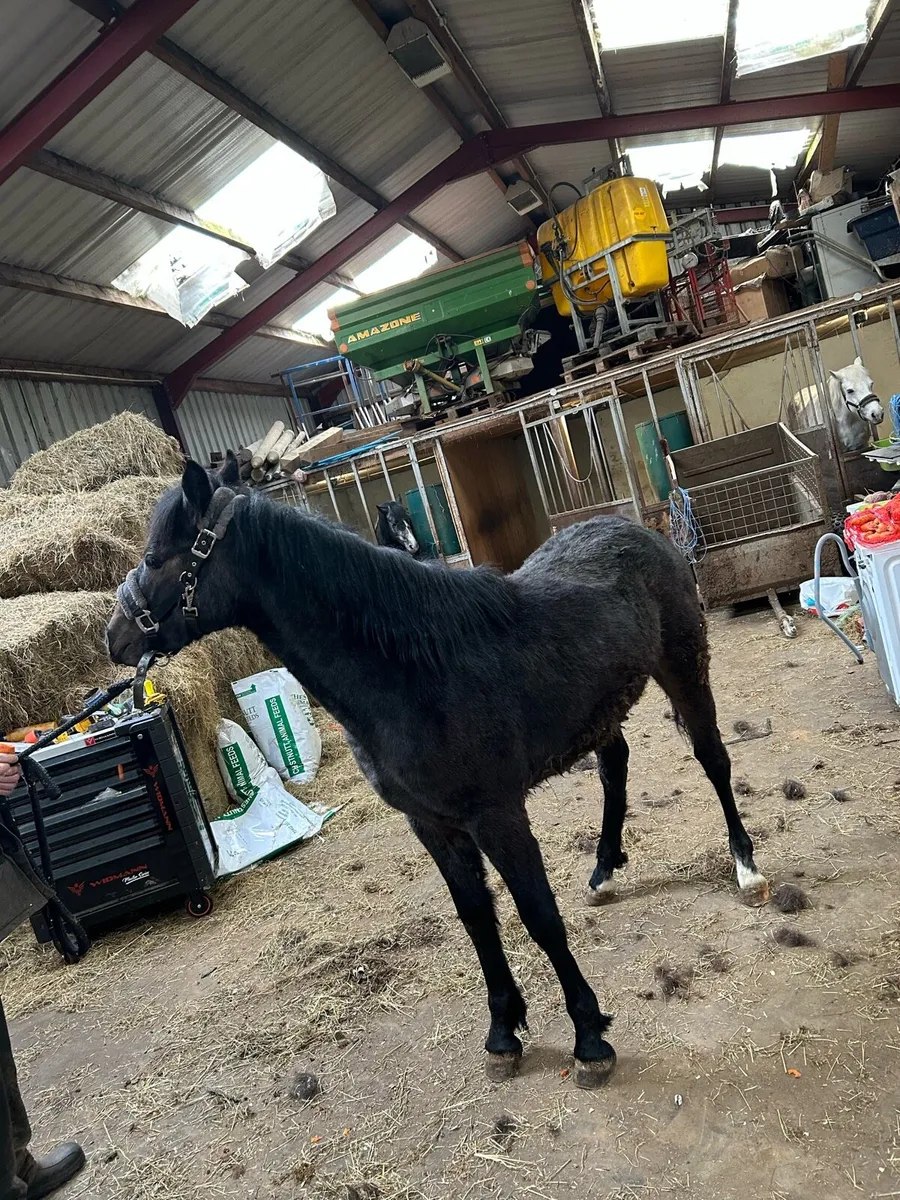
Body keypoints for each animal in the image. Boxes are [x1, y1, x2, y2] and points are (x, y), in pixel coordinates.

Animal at [106, 456, 768, 1089]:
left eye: (154, 557)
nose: (115, 638)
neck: (411, 669)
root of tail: (639, 530)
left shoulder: (498, 816)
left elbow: (539, 917)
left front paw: (589, 1039)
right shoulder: (433, 826)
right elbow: (476, 919)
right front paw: (503, 1033)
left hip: (683, 665)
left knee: (713, 759)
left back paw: (747, 869)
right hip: (603, 709)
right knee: (615, 768)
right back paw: (604, 871)